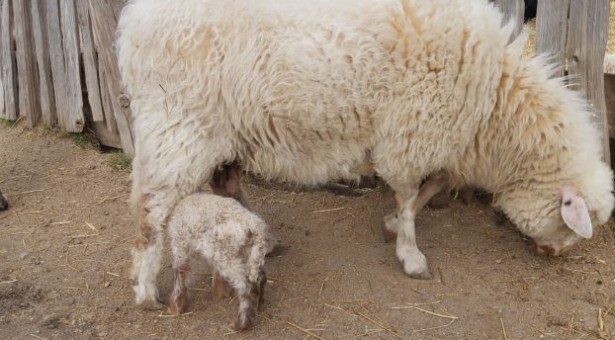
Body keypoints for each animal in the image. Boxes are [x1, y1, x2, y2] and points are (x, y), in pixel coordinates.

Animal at [118, 0, 612, 308]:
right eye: (569, 224)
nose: (551, 255)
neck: (492, 101)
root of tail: (134, 24)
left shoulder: (438, 137)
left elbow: (432, 185)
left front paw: (394, 225)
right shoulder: (411, 133)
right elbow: (410, 196)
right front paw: (410, 255)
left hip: (222, 126)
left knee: (223, 181)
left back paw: (261, 237)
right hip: (178, 125)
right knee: (148, 213)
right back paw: (145, 292)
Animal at [166, 193, 268, 330]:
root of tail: (254, 224)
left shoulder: (179, 239)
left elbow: (180, 271)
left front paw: (175, 307)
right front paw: (221, 292)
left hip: (222, 251)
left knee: (245, 287)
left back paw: (241, 324)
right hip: (249, 251)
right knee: (260, 277)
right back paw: (259, 306)